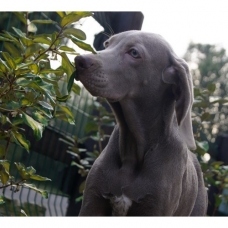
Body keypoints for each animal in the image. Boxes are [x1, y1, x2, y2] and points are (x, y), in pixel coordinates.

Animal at [74, 30, 208, 216]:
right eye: (107, 44)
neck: (133, 148)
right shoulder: (92, 203)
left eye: (134, 53)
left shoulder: (155, 210)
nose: (79, 60)